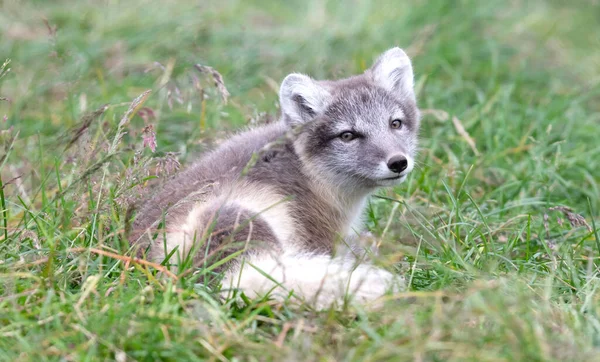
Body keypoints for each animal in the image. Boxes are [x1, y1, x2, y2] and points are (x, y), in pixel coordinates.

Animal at [131, 47, 422, 308]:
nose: (398, 162)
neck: (309, 174)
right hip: (234, 219)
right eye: (348, 135)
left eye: (395, 123)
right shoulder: (320, 236)